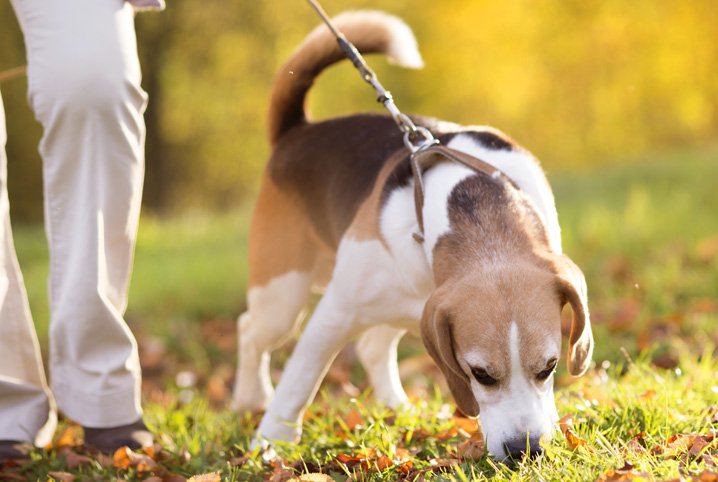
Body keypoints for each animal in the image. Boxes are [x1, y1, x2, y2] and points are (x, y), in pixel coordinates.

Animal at [232, 9, 596, 458]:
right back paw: (250, 398)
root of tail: (297, 132)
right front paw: (269, 444)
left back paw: (396, 406)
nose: (523, 450)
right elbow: (299, 381)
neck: (478, 210)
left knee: (371, 346)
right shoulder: (335, 313)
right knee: (250, 330)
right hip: (281, 296)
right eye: (480, 373)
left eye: (549, 367)